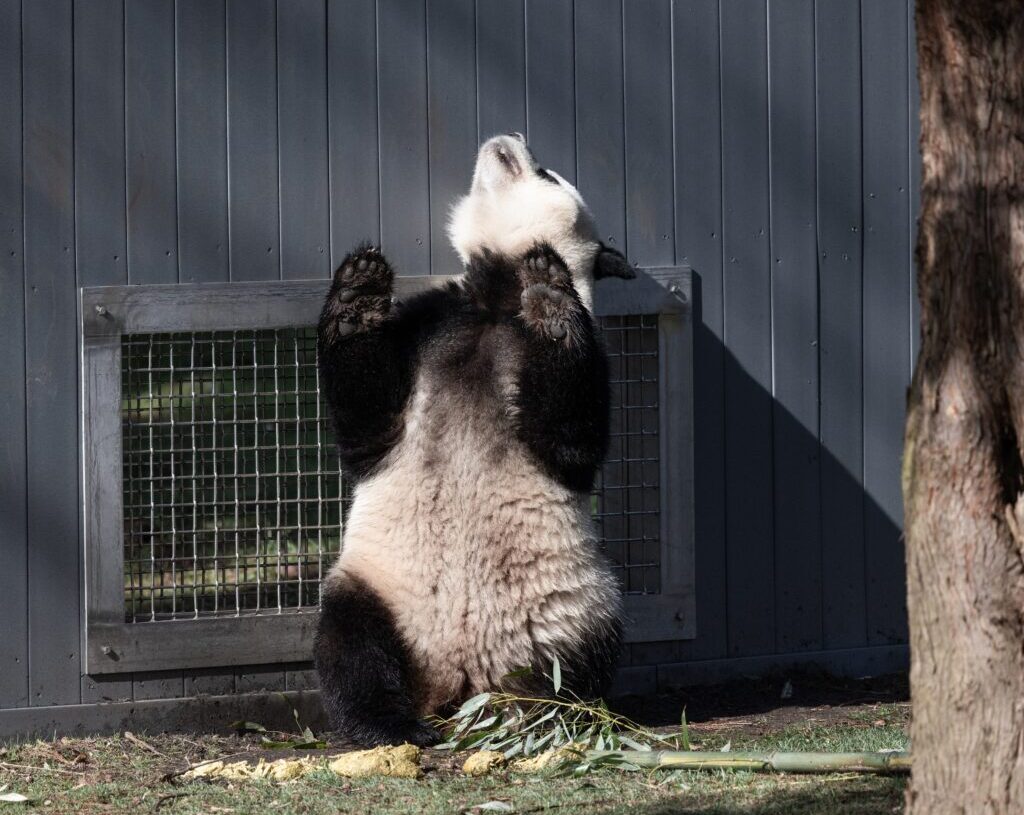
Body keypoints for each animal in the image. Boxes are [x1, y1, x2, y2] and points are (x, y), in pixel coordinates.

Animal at [315, 132, 636, 746]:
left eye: (548, 172)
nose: (509, 138)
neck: (494, 297)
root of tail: (461, 684)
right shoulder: (428, 327)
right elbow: (366, 424)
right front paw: (358, 291)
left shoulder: (583, 352)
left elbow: (572, 437)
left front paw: (550, 292)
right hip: (378, 588)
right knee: (351, 645)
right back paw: (389, 725)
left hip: (573, 606)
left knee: (584, 658)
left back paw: (558, 721)